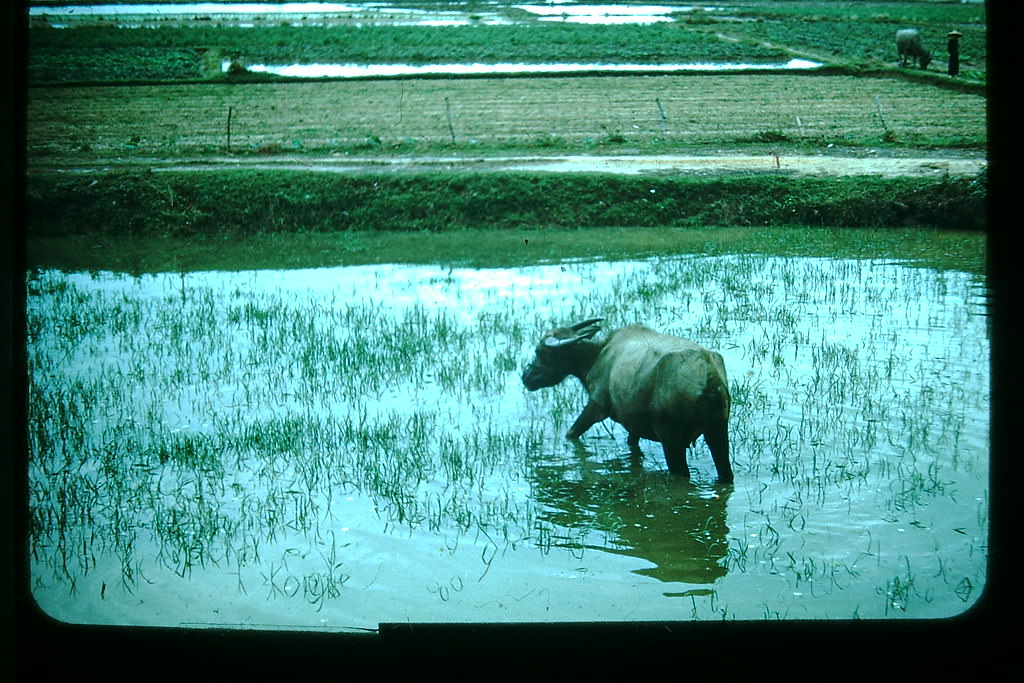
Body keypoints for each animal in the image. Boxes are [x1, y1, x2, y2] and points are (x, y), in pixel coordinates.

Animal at [522, 319, 733, 483]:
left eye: (541, 352)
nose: (527, 377)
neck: (595, 357)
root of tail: (709, 378)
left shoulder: (597, 406)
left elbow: (572, 432)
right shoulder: (634, 424)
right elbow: (632, 443)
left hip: (672, 441)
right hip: (717, 430)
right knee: (725, 473)